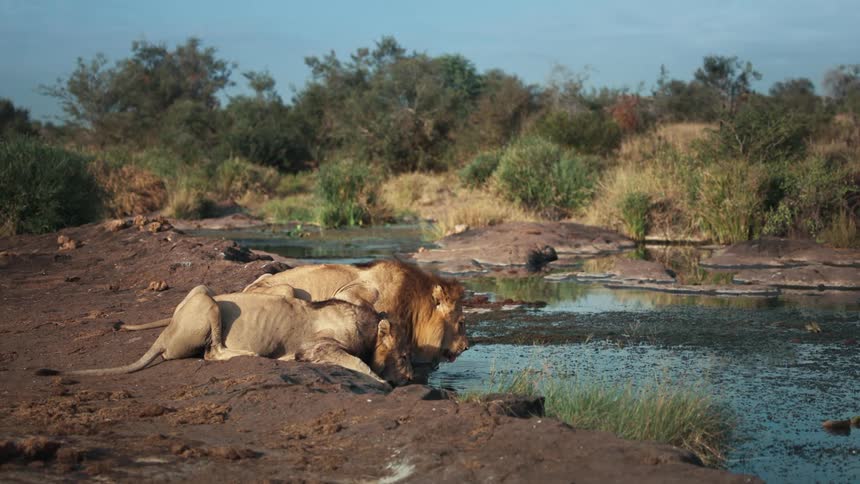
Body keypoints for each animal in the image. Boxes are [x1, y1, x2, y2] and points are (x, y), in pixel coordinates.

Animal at [40, 285, 413, 386]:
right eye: (406, 354)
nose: (411, 377)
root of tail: (165, 334)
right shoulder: (316, 348)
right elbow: (359, 365)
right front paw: (381, 381)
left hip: (201, 291)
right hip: (207, 300)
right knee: (212, 352)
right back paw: (251, 355)